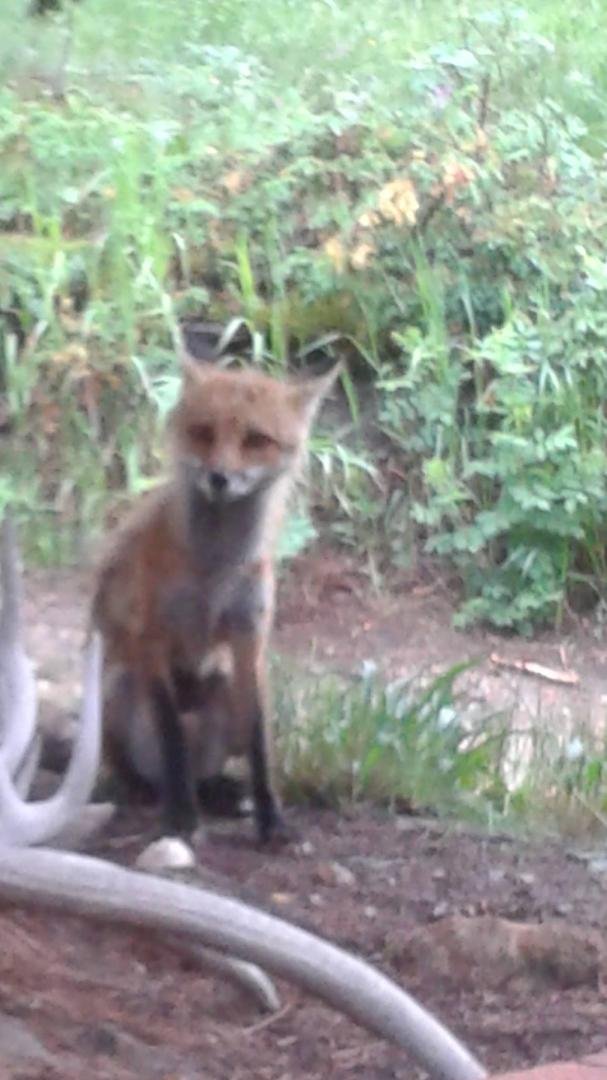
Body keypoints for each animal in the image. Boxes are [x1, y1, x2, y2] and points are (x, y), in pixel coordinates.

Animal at [91, 355, 341, 843]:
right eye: (203, 432)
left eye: (256, 440)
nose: (218, 478)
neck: (216, 567)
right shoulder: (153, 634)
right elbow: (171, 735)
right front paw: (181, 817)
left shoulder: (249, 637)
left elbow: (261, 742)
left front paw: (271, 819)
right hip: (117, 687)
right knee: (150, 771)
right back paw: (150, 792)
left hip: (223, 686)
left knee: (207, 768)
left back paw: (216, 792)